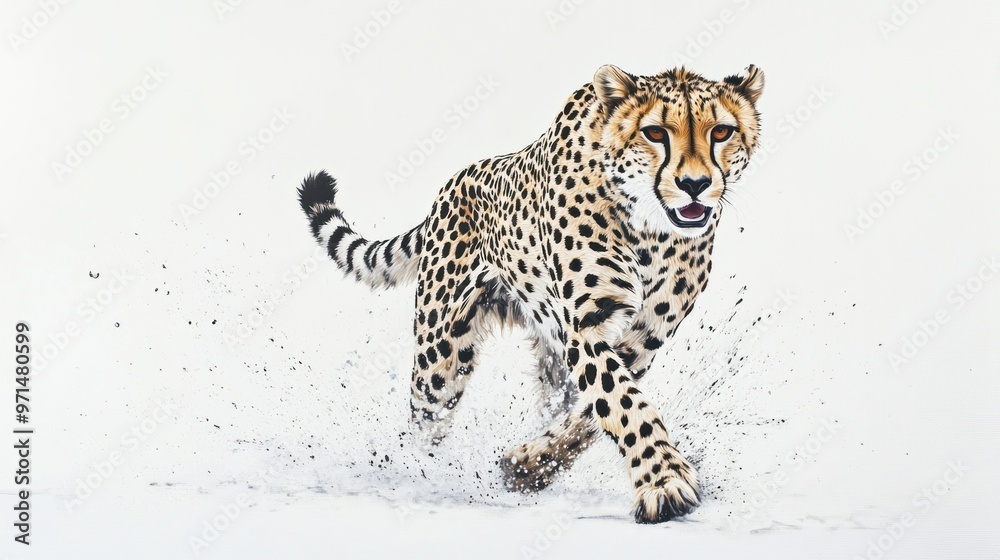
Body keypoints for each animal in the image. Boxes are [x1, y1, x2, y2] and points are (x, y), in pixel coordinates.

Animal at [297, 64, 764, 523]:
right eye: (655, 133)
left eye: (721, 132)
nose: (694, 184)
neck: (650, 228)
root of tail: (453, 183)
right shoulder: (586, 325)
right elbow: (622, 402)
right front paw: (665, 483)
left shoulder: (645, 336)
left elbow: (594, 411)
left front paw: (526, 465)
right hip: (441, 351)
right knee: (425, 418)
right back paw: (418, 476)